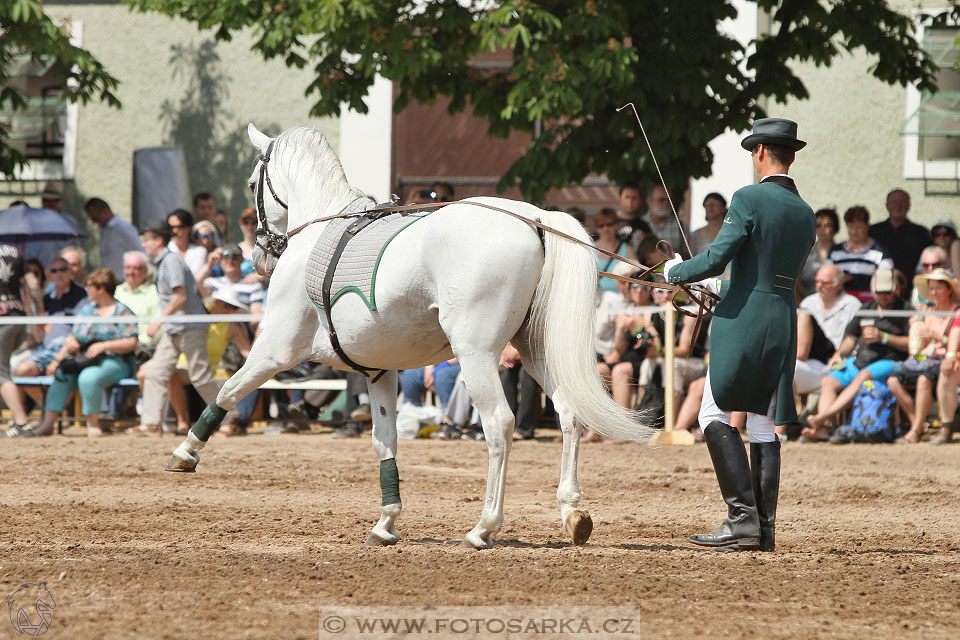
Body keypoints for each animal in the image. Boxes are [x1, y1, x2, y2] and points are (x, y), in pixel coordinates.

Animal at [169, 125, 656, 552]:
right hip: (535, 349)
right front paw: (385, 523)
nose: (258, 257)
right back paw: (573, 513)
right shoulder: (378, 371)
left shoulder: (276, 349)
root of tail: (534, 217)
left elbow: (228, 390)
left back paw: (483, 528)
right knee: (569, 413)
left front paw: (185, 453)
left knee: (499, 424)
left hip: (476, 354)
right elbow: (385, 441)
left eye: (253, 182)